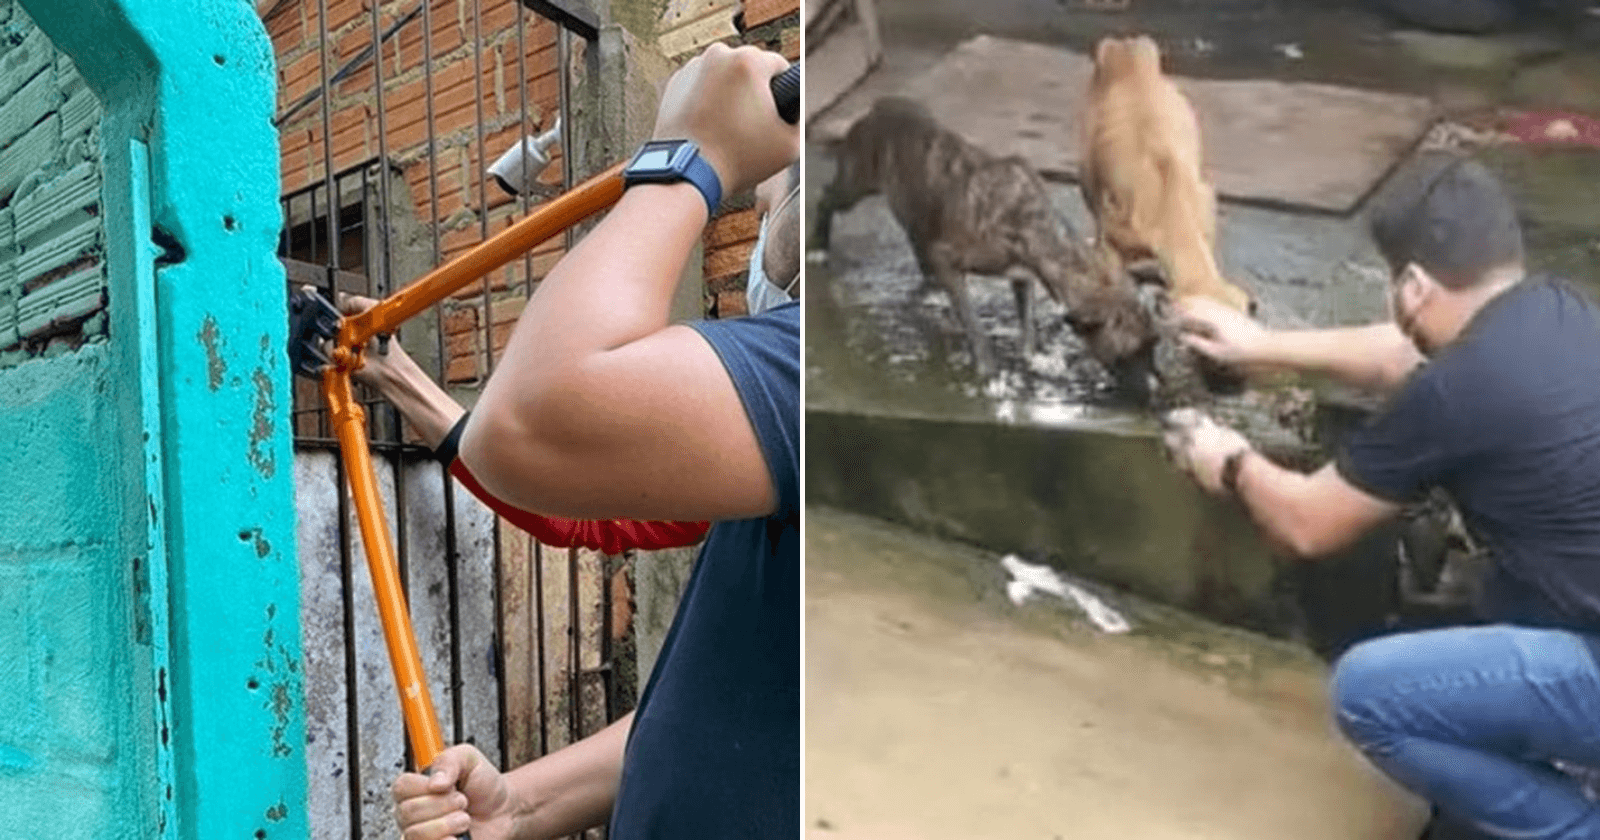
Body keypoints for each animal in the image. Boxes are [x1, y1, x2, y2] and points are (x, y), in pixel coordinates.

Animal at [819, 94, 1158, 379]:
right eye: (1131, 353)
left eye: (1155, 344)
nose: (1156, 394)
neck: (1039, 231)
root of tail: (878, 106)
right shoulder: (949, 259)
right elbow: (972, 322)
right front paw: (986, 364)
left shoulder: (1022, 277)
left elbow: (1027, 323)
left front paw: (1030, 356)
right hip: (857, 182)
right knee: (826, 197)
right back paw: (818, 246)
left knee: (916, 235)